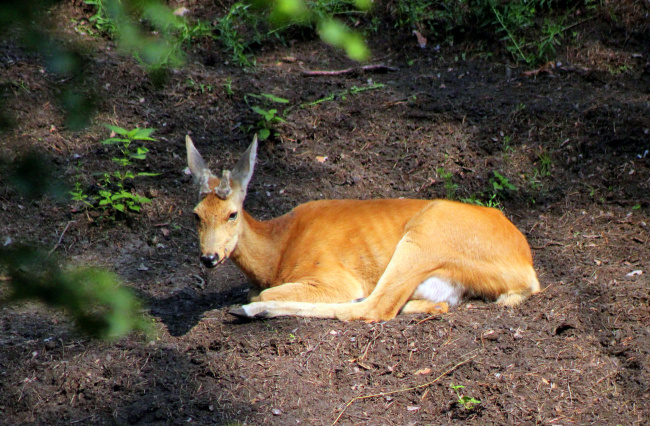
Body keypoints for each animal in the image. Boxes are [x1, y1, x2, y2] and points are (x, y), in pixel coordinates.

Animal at [185, 135, 540, 322]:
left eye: (232, 214)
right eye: (196, 215)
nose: (209, 257)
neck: (279, 250)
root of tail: (527, 270)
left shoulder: (330, 274)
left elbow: (265, 290)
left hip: (427, 233)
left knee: (373, 306)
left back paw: (250, 310)